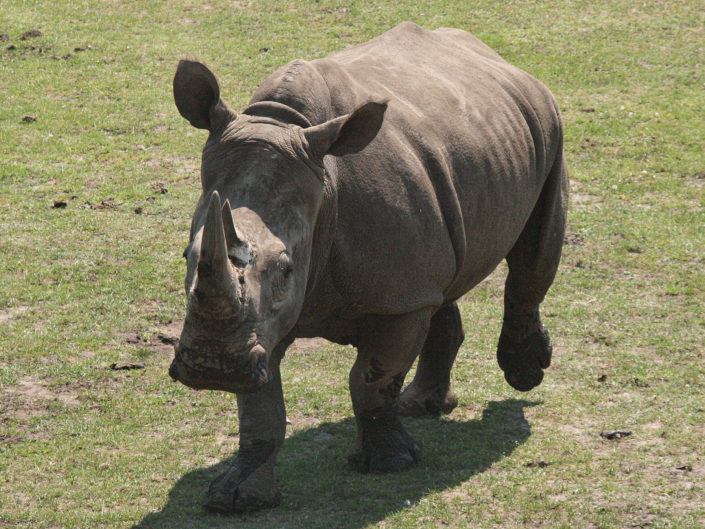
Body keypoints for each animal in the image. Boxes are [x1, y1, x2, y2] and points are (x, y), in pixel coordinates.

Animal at [169, 22, 568, 513]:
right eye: (188, 257)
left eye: (286, 268)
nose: (212, 367)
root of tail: (493, 56)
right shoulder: (259, 328)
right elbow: (260, 407)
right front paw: (238, 498)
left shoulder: (394, 303)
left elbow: (371, 378)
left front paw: (390, 463)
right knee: (442, 283)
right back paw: (422, 406)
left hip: (548, 124)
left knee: (535, 253)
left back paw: (524, 375)